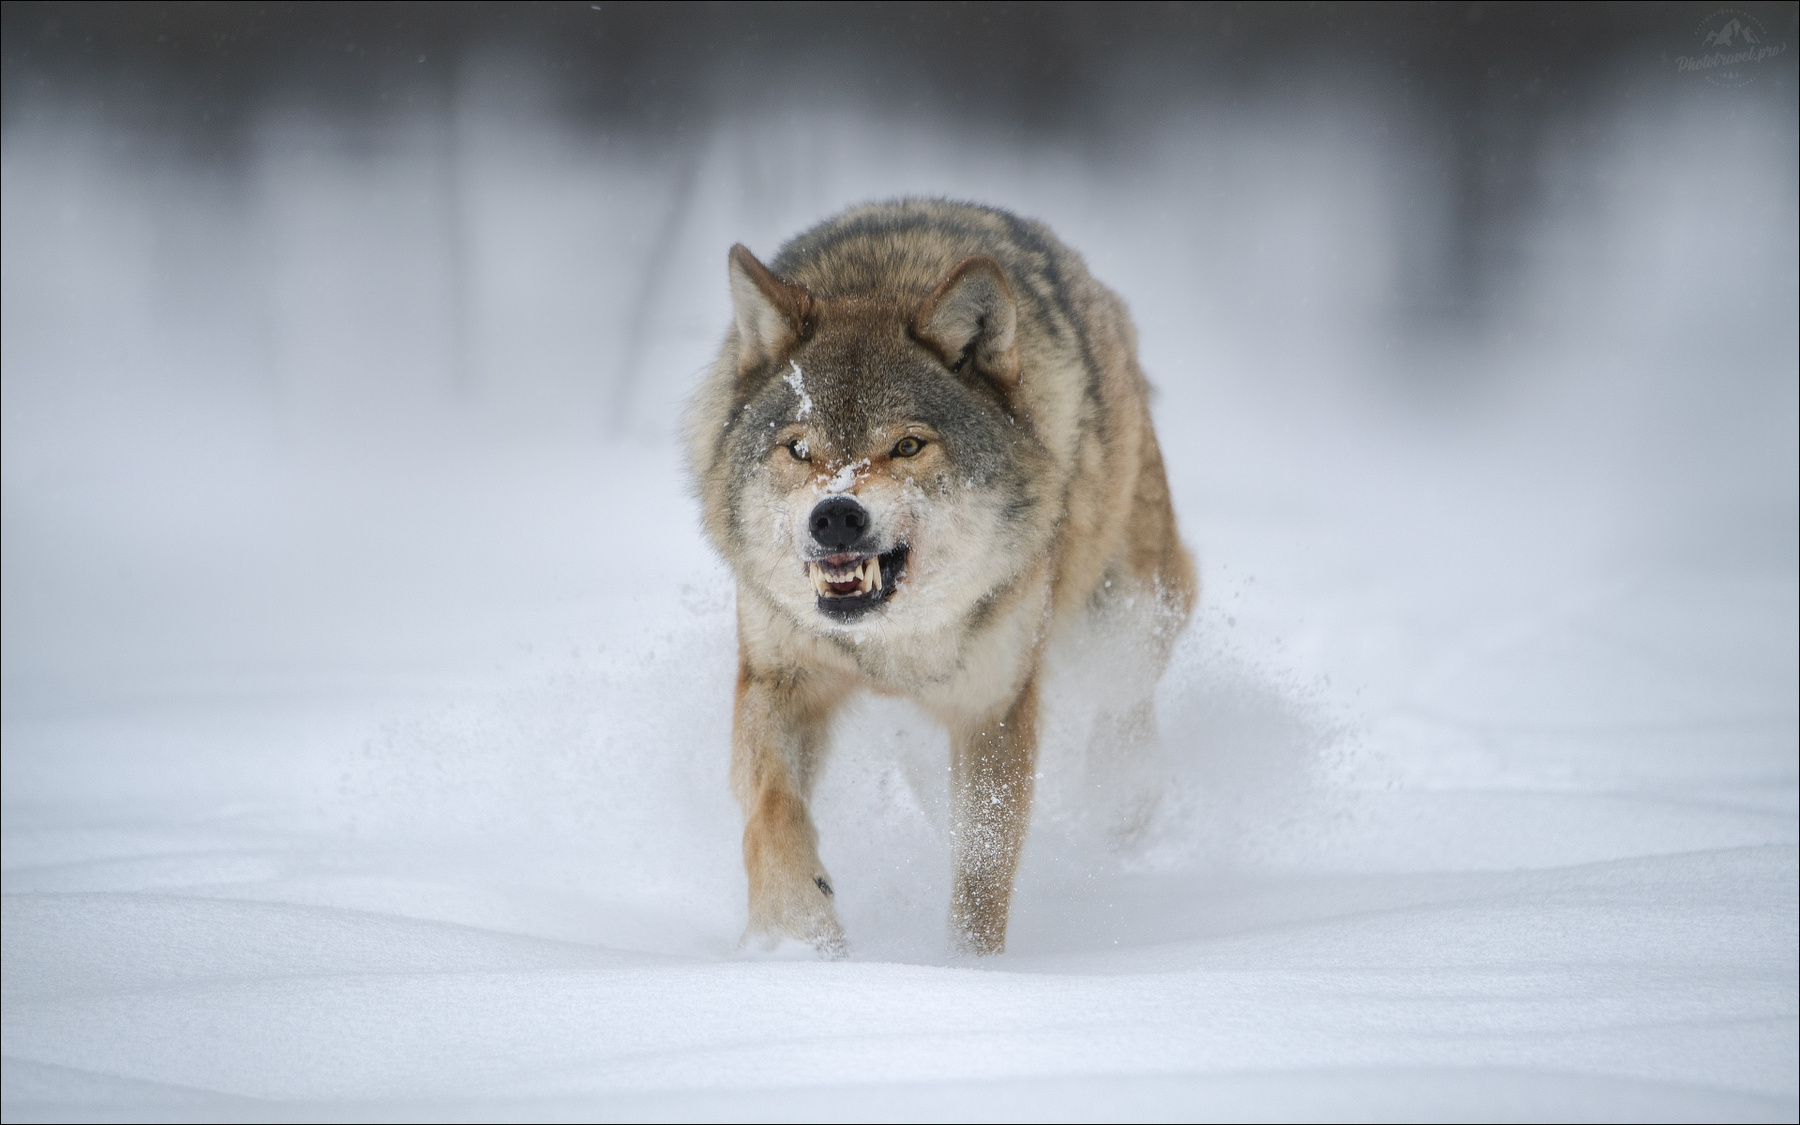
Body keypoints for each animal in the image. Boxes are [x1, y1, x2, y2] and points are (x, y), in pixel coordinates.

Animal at [687, 199, 1195, 956]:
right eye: (799, 449)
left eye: (906, 445)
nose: (835, 515)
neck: (887, 644)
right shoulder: (779, 677)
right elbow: (772, 811)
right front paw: (800, 937)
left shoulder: (993, 708)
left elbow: (982, 863)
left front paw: (967, 970)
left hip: (1126, 623)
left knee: (1126, 705)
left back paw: (1123, 804)